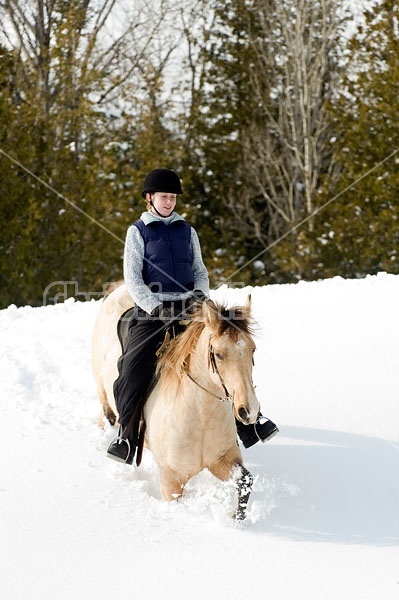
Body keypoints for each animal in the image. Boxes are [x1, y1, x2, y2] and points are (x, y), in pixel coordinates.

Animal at [91, 282, 260, 520]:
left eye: (253, 349)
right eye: (218, 354)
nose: (250, 411)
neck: (200, 415)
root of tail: (119, 289)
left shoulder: (222, 459)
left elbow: (245, 482)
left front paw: (237, 522)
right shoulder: (171, 481)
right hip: (103, 392)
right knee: (108, 415)